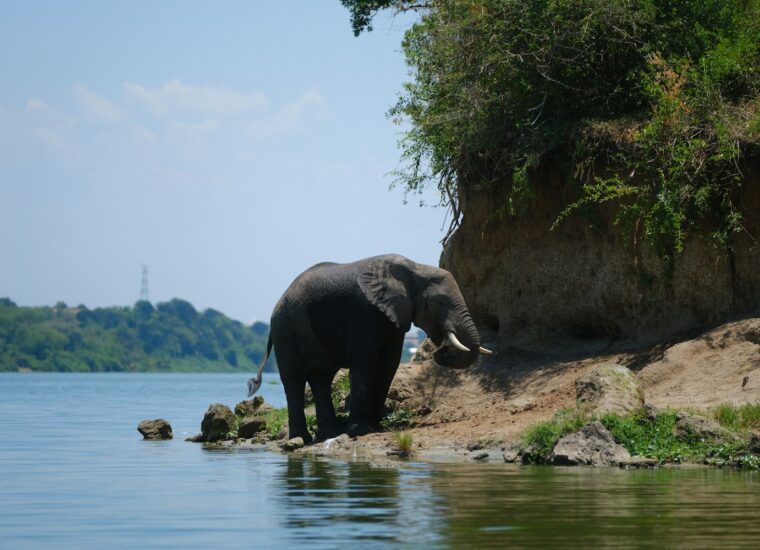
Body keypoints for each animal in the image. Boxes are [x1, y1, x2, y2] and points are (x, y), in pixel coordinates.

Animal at [246, 254, 491, 442]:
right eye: (440, 302)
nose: (439, 350)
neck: (414, 268)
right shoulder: (364, 313)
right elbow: (364, 364)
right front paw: (360, 431)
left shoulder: (394, 316)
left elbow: (389, 365)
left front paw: (375, 427)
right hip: (285, 329)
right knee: (294, 380)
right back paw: (301, 439)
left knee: (322, 378)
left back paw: (329, 433)